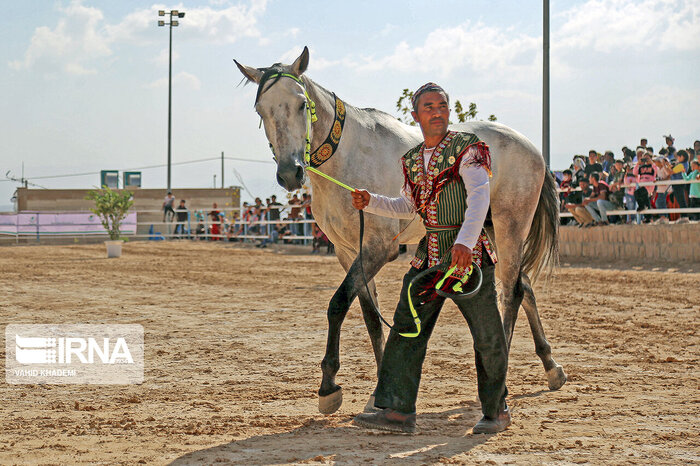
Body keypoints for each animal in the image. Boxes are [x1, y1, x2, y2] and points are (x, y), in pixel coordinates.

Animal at [238, 45, 568, 414]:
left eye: (300, 104)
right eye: (261, 110)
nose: (290, 173)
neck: (347, 157)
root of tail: (532, 148)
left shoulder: (379, 248)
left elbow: (338, 304)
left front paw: (328, 387)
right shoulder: (348, 251)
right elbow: (369, 315)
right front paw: (377, 392)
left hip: (512, 225)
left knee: (511, 292)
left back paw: (505, 380)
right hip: (491, 228)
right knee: (525, 287)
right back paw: (551, 368)